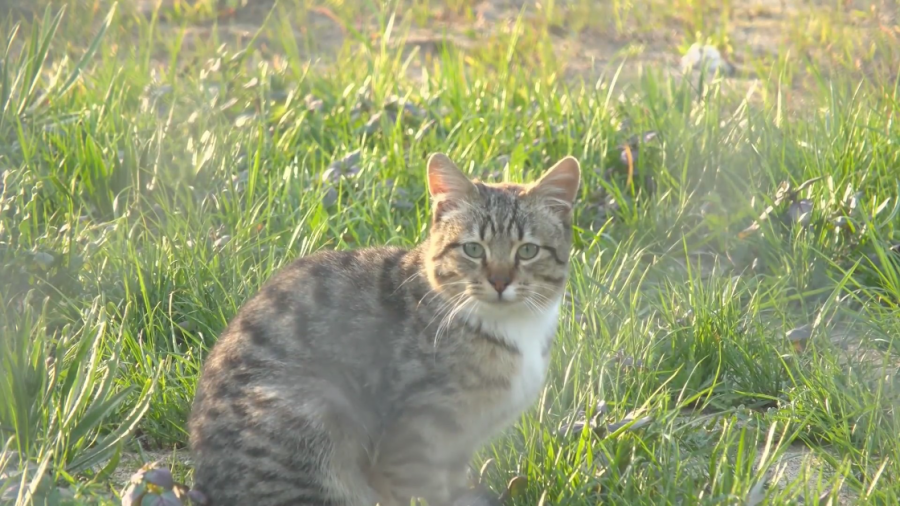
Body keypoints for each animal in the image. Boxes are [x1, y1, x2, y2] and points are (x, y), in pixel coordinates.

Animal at [190, 151, 584, 506]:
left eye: (527, 251)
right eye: (473, 249)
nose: (500, 281)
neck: (513, 329)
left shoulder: (456, 450)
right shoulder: (414, 440)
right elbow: (422, 494)